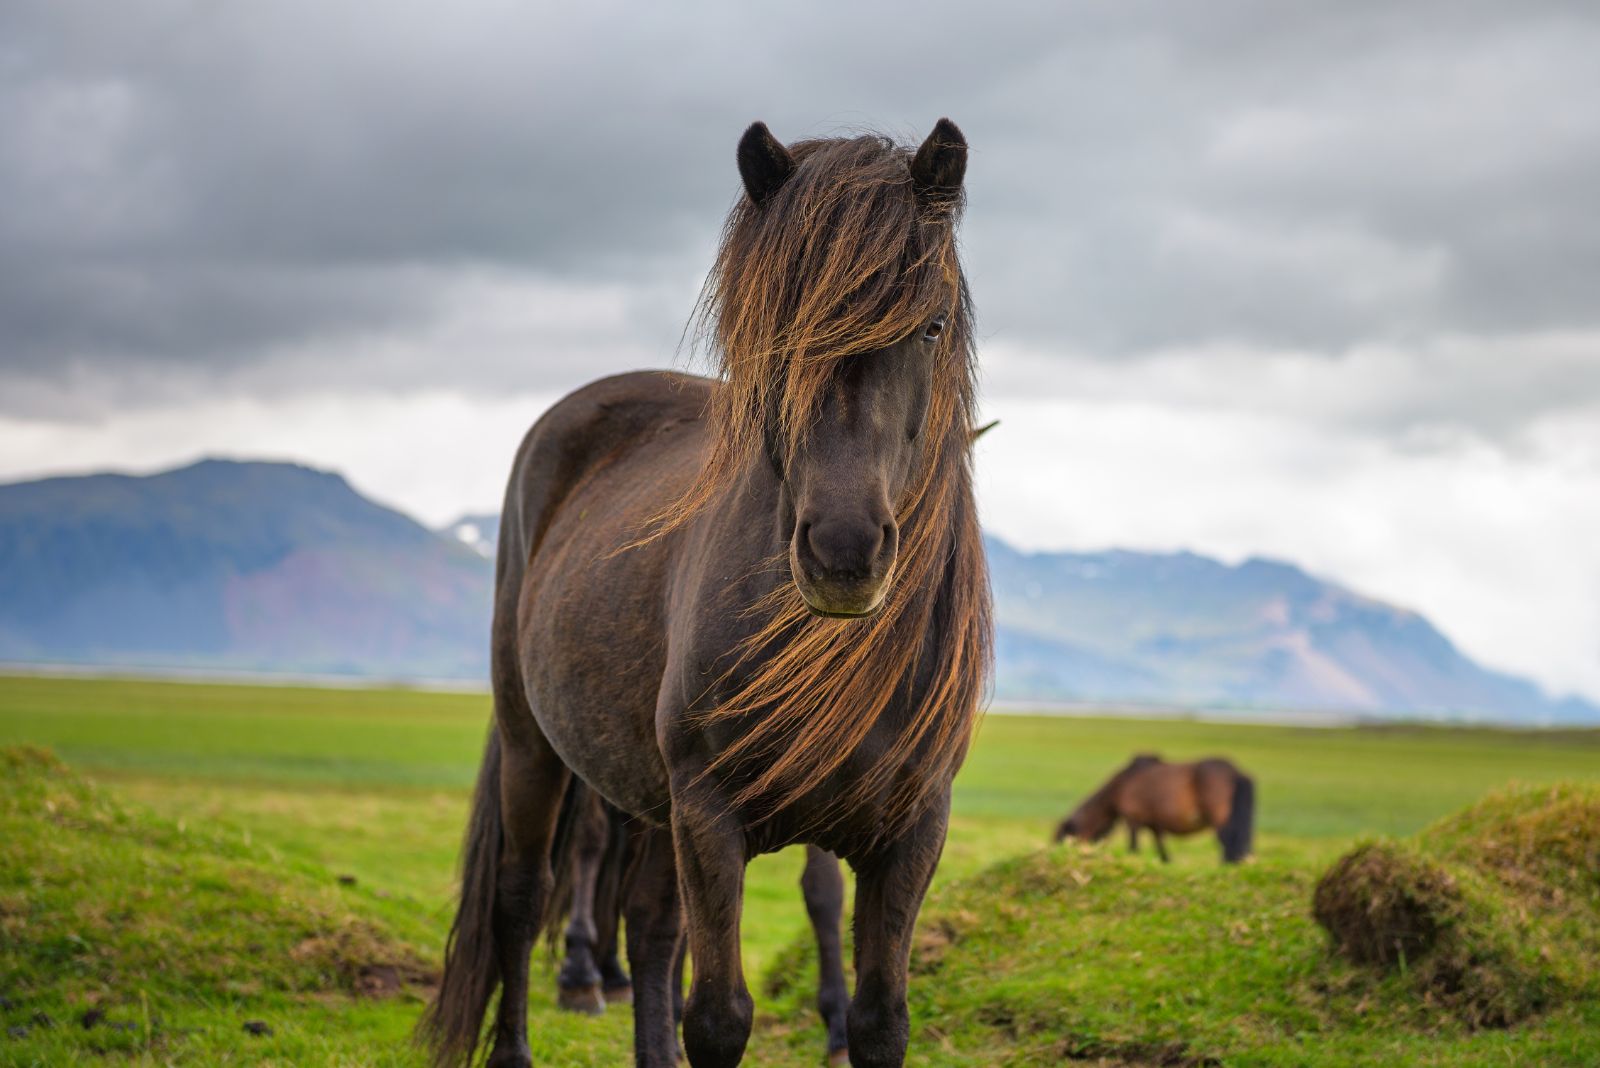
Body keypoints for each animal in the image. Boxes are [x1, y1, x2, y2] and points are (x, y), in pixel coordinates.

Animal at [416, 120, 985, 1068]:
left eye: (932, 324)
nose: (843, 551)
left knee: (648, 928)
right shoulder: (711, 819)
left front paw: (842, 1022)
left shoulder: (912, 829)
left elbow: (879, 1019)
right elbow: (718, 1016)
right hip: (538, 746)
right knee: (523, 894)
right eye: (777, 328)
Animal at [1056, 754, 1254, 863]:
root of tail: (1237, 772)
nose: (1062, 854)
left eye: (1065, 838)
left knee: (1227, 841)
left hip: (1219, 816)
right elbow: (1163, 853)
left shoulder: (1133, 818)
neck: (1121, 786)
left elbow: (1133, 848)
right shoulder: (1155, 823)